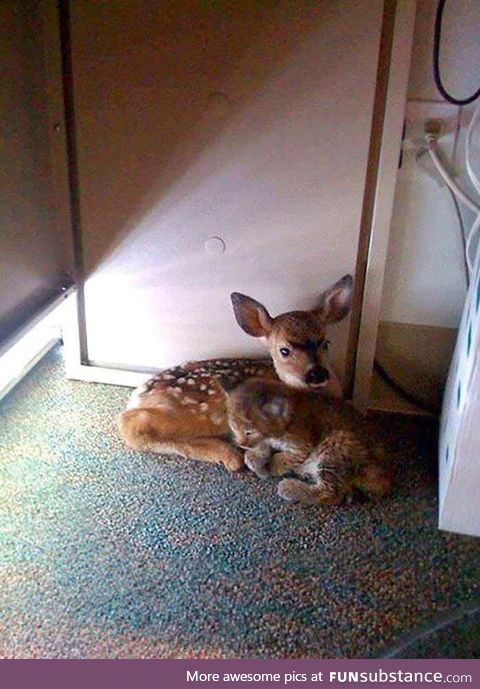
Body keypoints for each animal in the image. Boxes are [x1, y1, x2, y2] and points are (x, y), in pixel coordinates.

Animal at [223, 378, 392, 502]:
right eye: (234, 427)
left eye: (249, 432)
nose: (240, 443)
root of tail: (385, 473)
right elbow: (255, 452)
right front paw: (257, 460)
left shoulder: (302, 447)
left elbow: (281, 458)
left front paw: (271, 467)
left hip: (336, 442)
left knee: (331, 493)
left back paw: (289, 487)